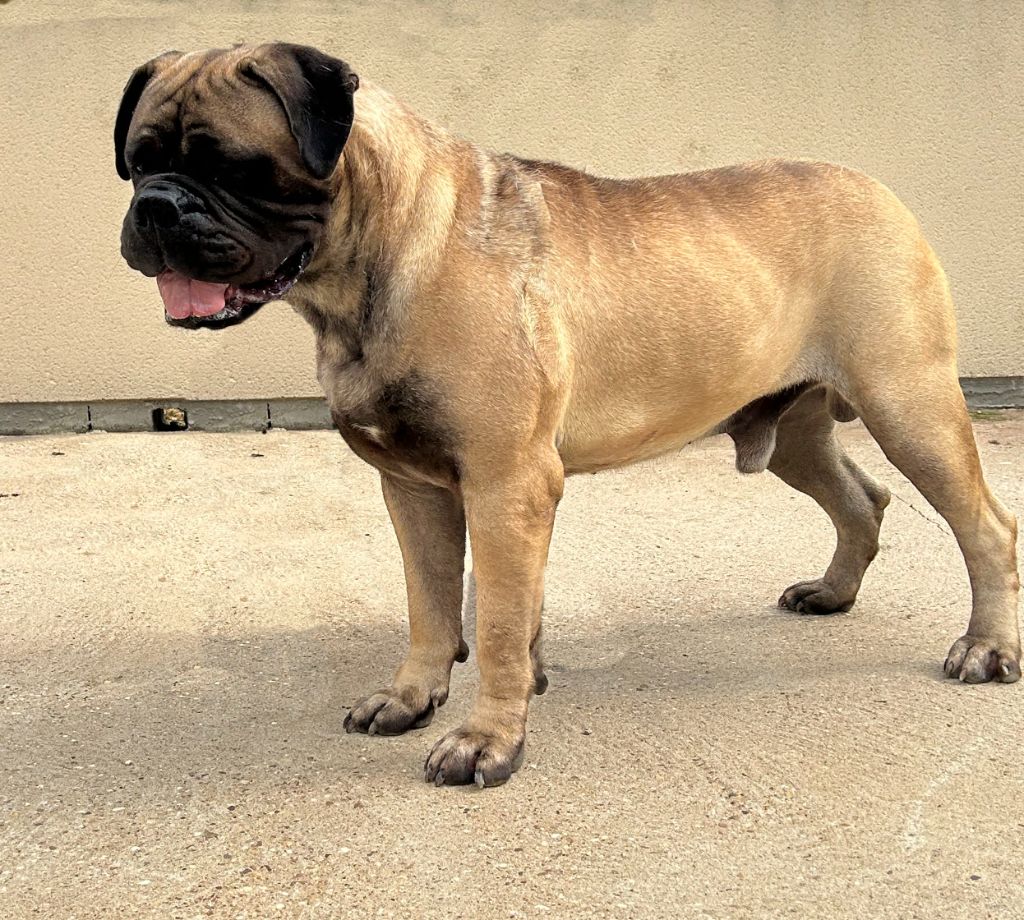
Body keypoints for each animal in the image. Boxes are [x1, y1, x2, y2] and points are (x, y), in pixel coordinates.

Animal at [117, 43, 1015, 786]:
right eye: (136, 163)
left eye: (236, 167)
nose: (156, 206)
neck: (385, 251)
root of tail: (881, 189)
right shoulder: (416, 488)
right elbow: (431, 605)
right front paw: (413, 696)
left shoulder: (504, 482)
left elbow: (499, 621)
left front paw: (487, 740)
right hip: (793, 431)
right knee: (862, 497)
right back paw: (832, 593)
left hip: (911, 407)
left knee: (986, 528)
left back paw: (986, 647)